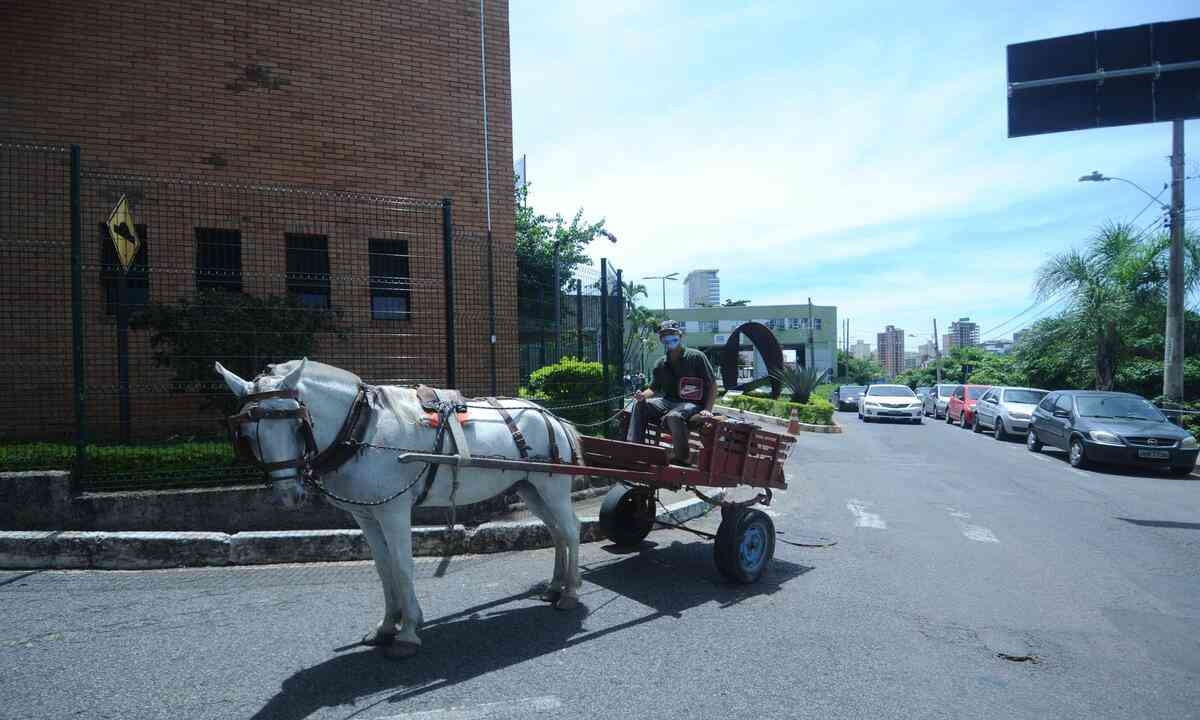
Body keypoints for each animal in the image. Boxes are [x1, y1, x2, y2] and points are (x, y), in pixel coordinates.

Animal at [222, 357, 590, 657]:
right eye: (247, 433)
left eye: (298, 423)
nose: (288, 495)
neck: (364, 428)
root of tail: (552, 417)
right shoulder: (366, 514)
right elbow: (384, 569)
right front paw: (387, 625)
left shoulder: (393, 510)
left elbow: (402, 567)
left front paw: (409, 631)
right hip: (530, 488)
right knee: (556, 532)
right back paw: (555, 586)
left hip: (552, 487)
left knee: (571, 531)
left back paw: (570, 592)